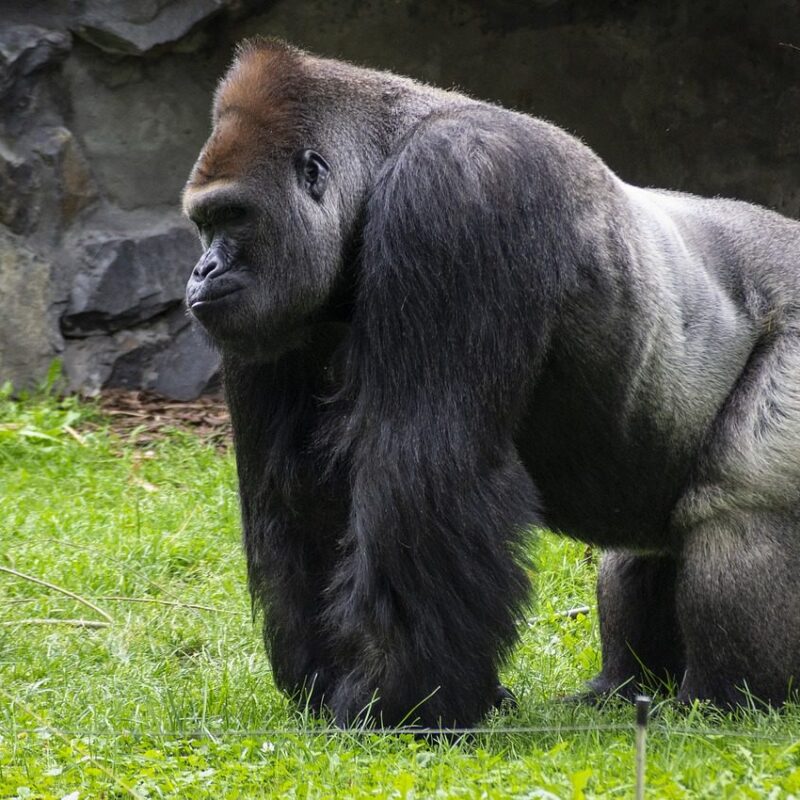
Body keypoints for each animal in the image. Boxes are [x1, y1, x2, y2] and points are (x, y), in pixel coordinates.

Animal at [183, 38, 800, 727]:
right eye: (204, 223)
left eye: (235, 215)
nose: (203, 271)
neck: (380, 159)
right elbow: (298, 497)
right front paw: (326, 680)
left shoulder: (454, 191)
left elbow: (423, 471)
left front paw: (400, 700)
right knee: (645, 549)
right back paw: (622, 688)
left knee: (735, 512)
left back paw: (724, 702)